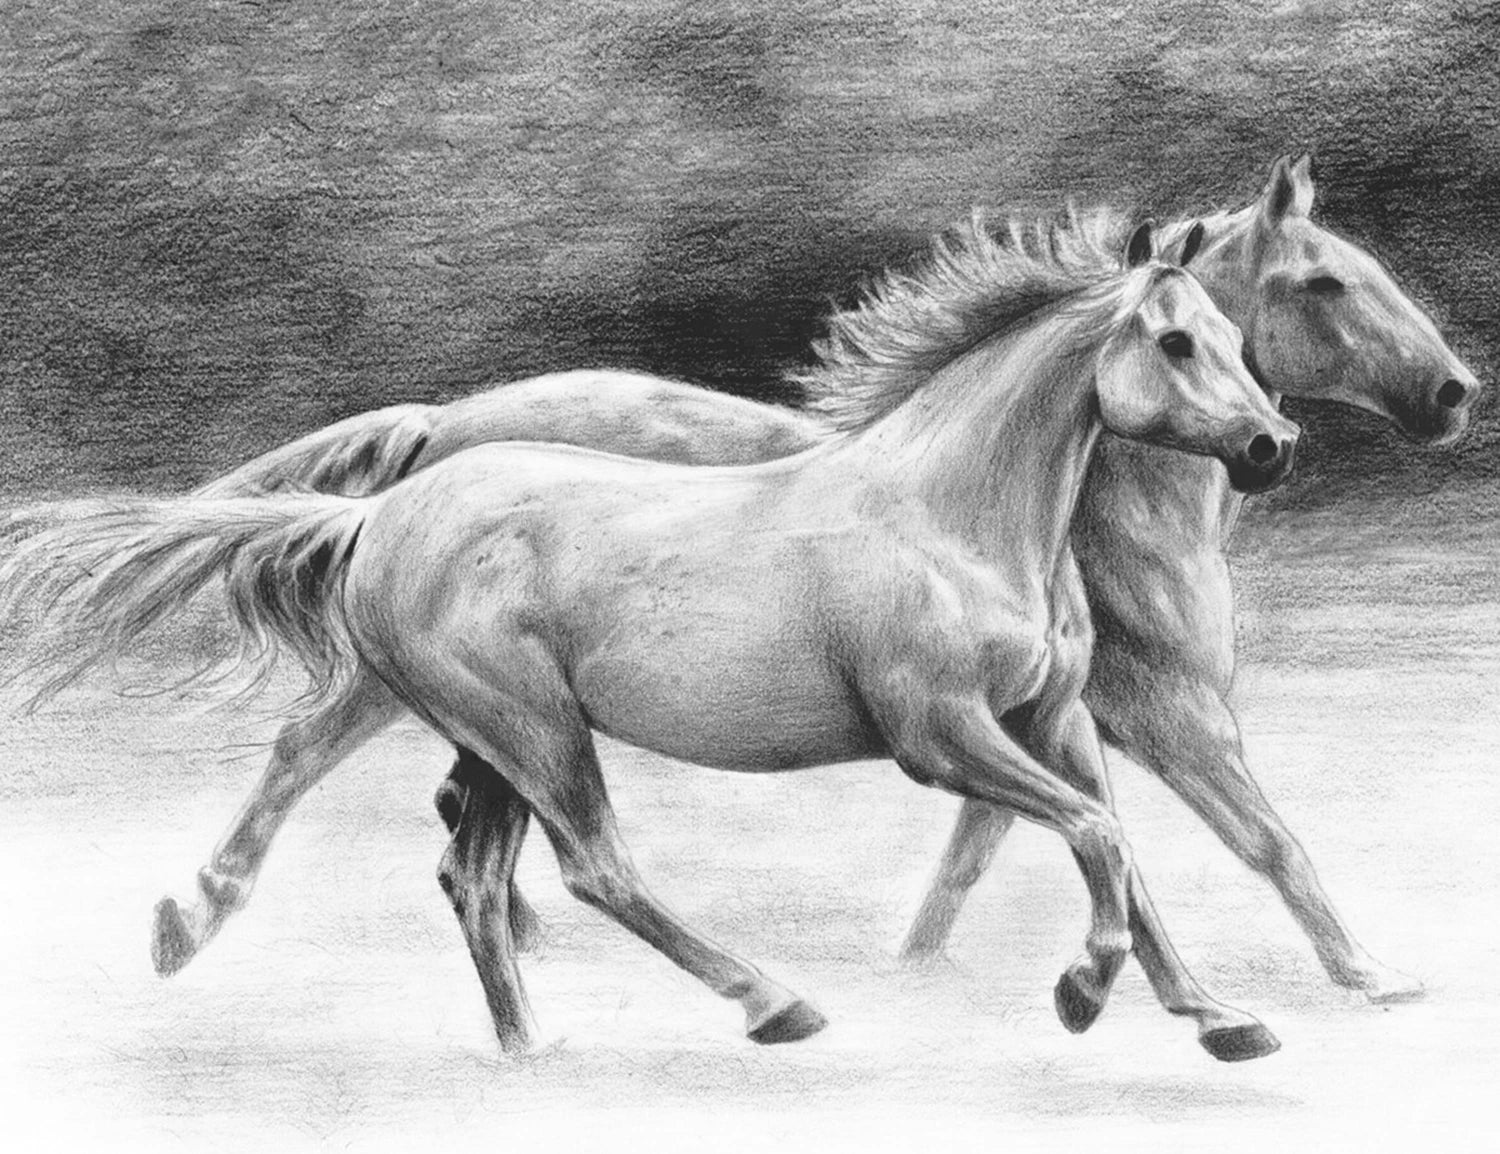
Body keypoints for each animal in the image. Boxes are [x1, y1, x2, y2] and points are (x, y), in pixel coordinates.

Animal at [134, 156, 1477, 1006]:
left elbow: (1024, 852)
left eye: (1252, 328)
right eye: (1325, 282)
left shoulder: (1046, 719)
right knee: (330, 756)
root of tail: (432, 436)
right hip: (462, 697)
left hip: (484, 709)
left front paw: (998, 975)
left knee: (456, 816)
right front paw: (1366, 976)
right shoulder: (1154, 716)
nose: (1456, 391)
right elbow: (1252, 839)